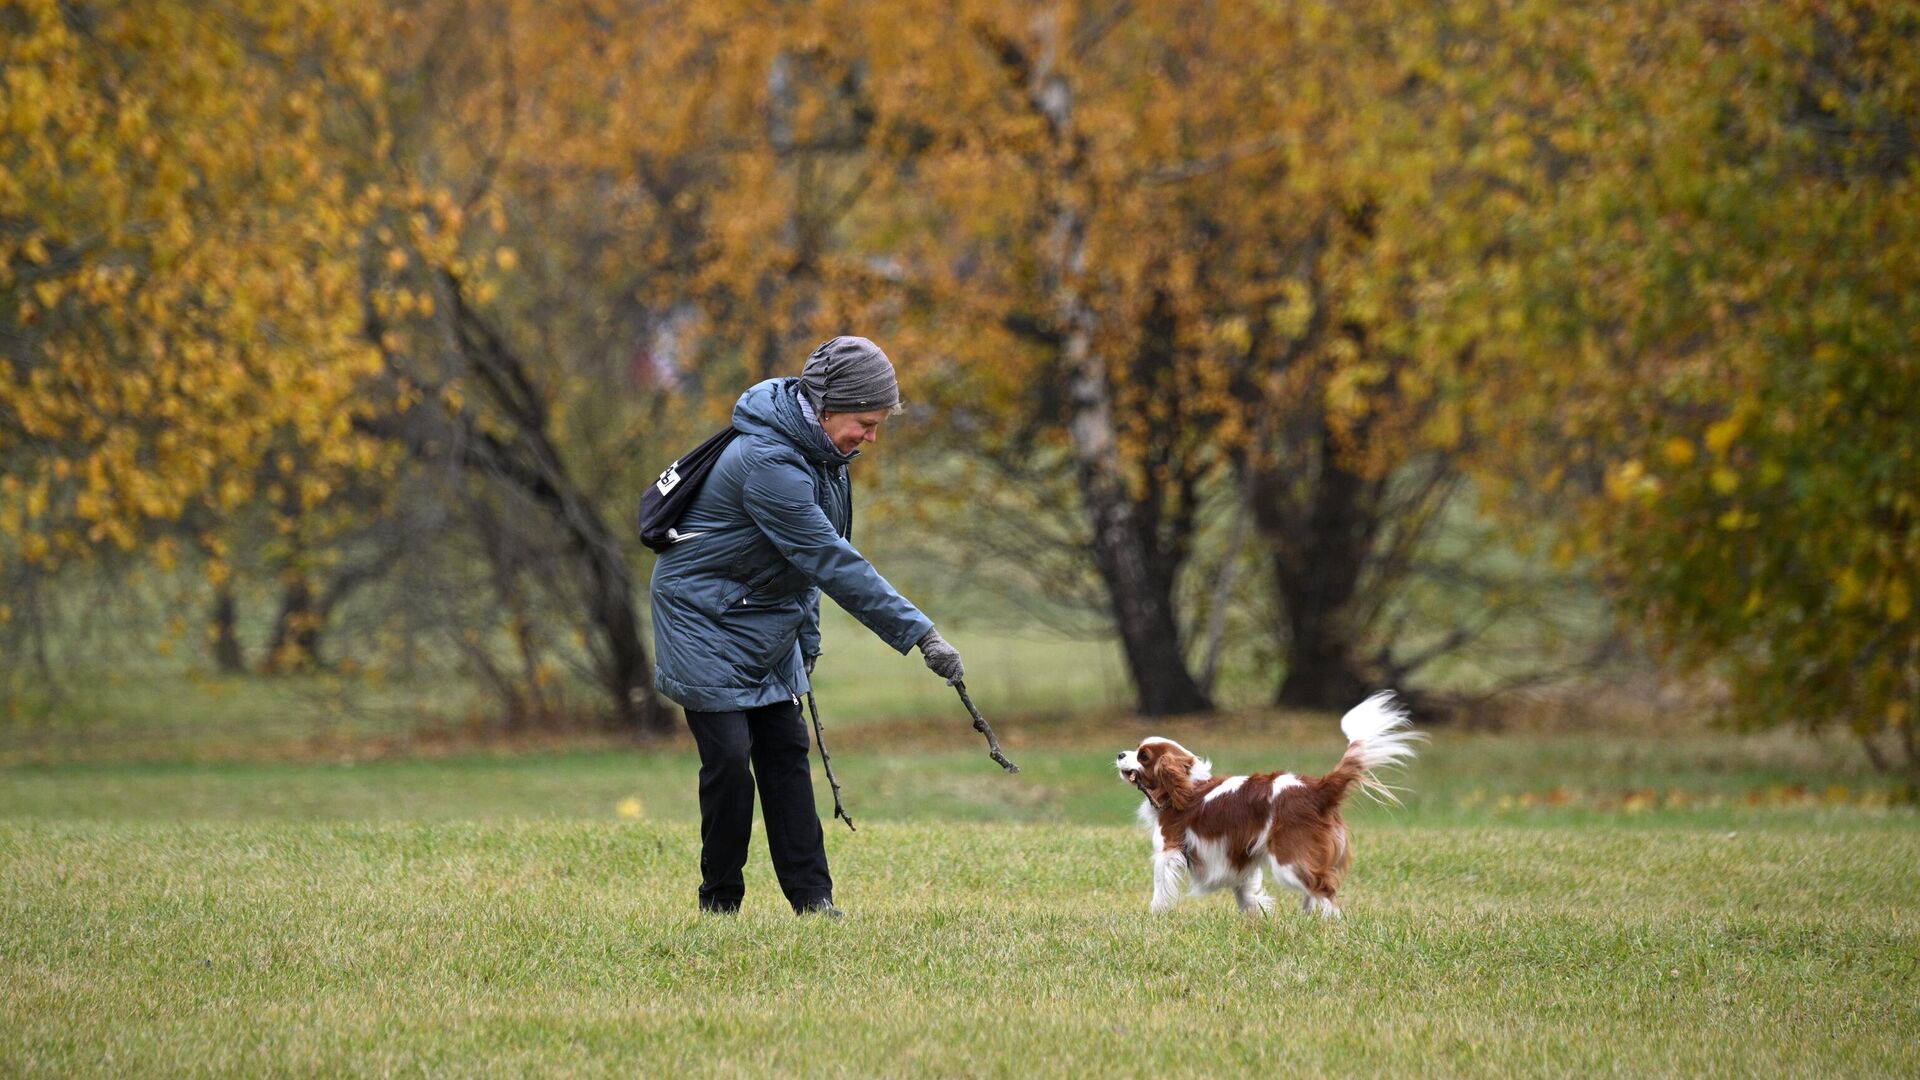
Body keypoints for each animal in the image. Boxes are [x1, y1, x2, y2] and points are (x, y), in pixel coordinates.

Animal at [1121, 687, 1420, 914]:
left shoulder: (1168, 851)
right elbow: (1246, 894)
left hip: (1289, 861)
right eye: (1135, 749)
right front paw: (1257, 916)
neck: (1186, 787)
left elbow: (1160, 890)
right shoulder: (1238, 854)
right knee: (1315, 891)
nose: (1120, 754)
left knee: (1324, 888)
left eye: (1143, 756)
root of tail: (1317, 789)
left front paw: (1156, 917)